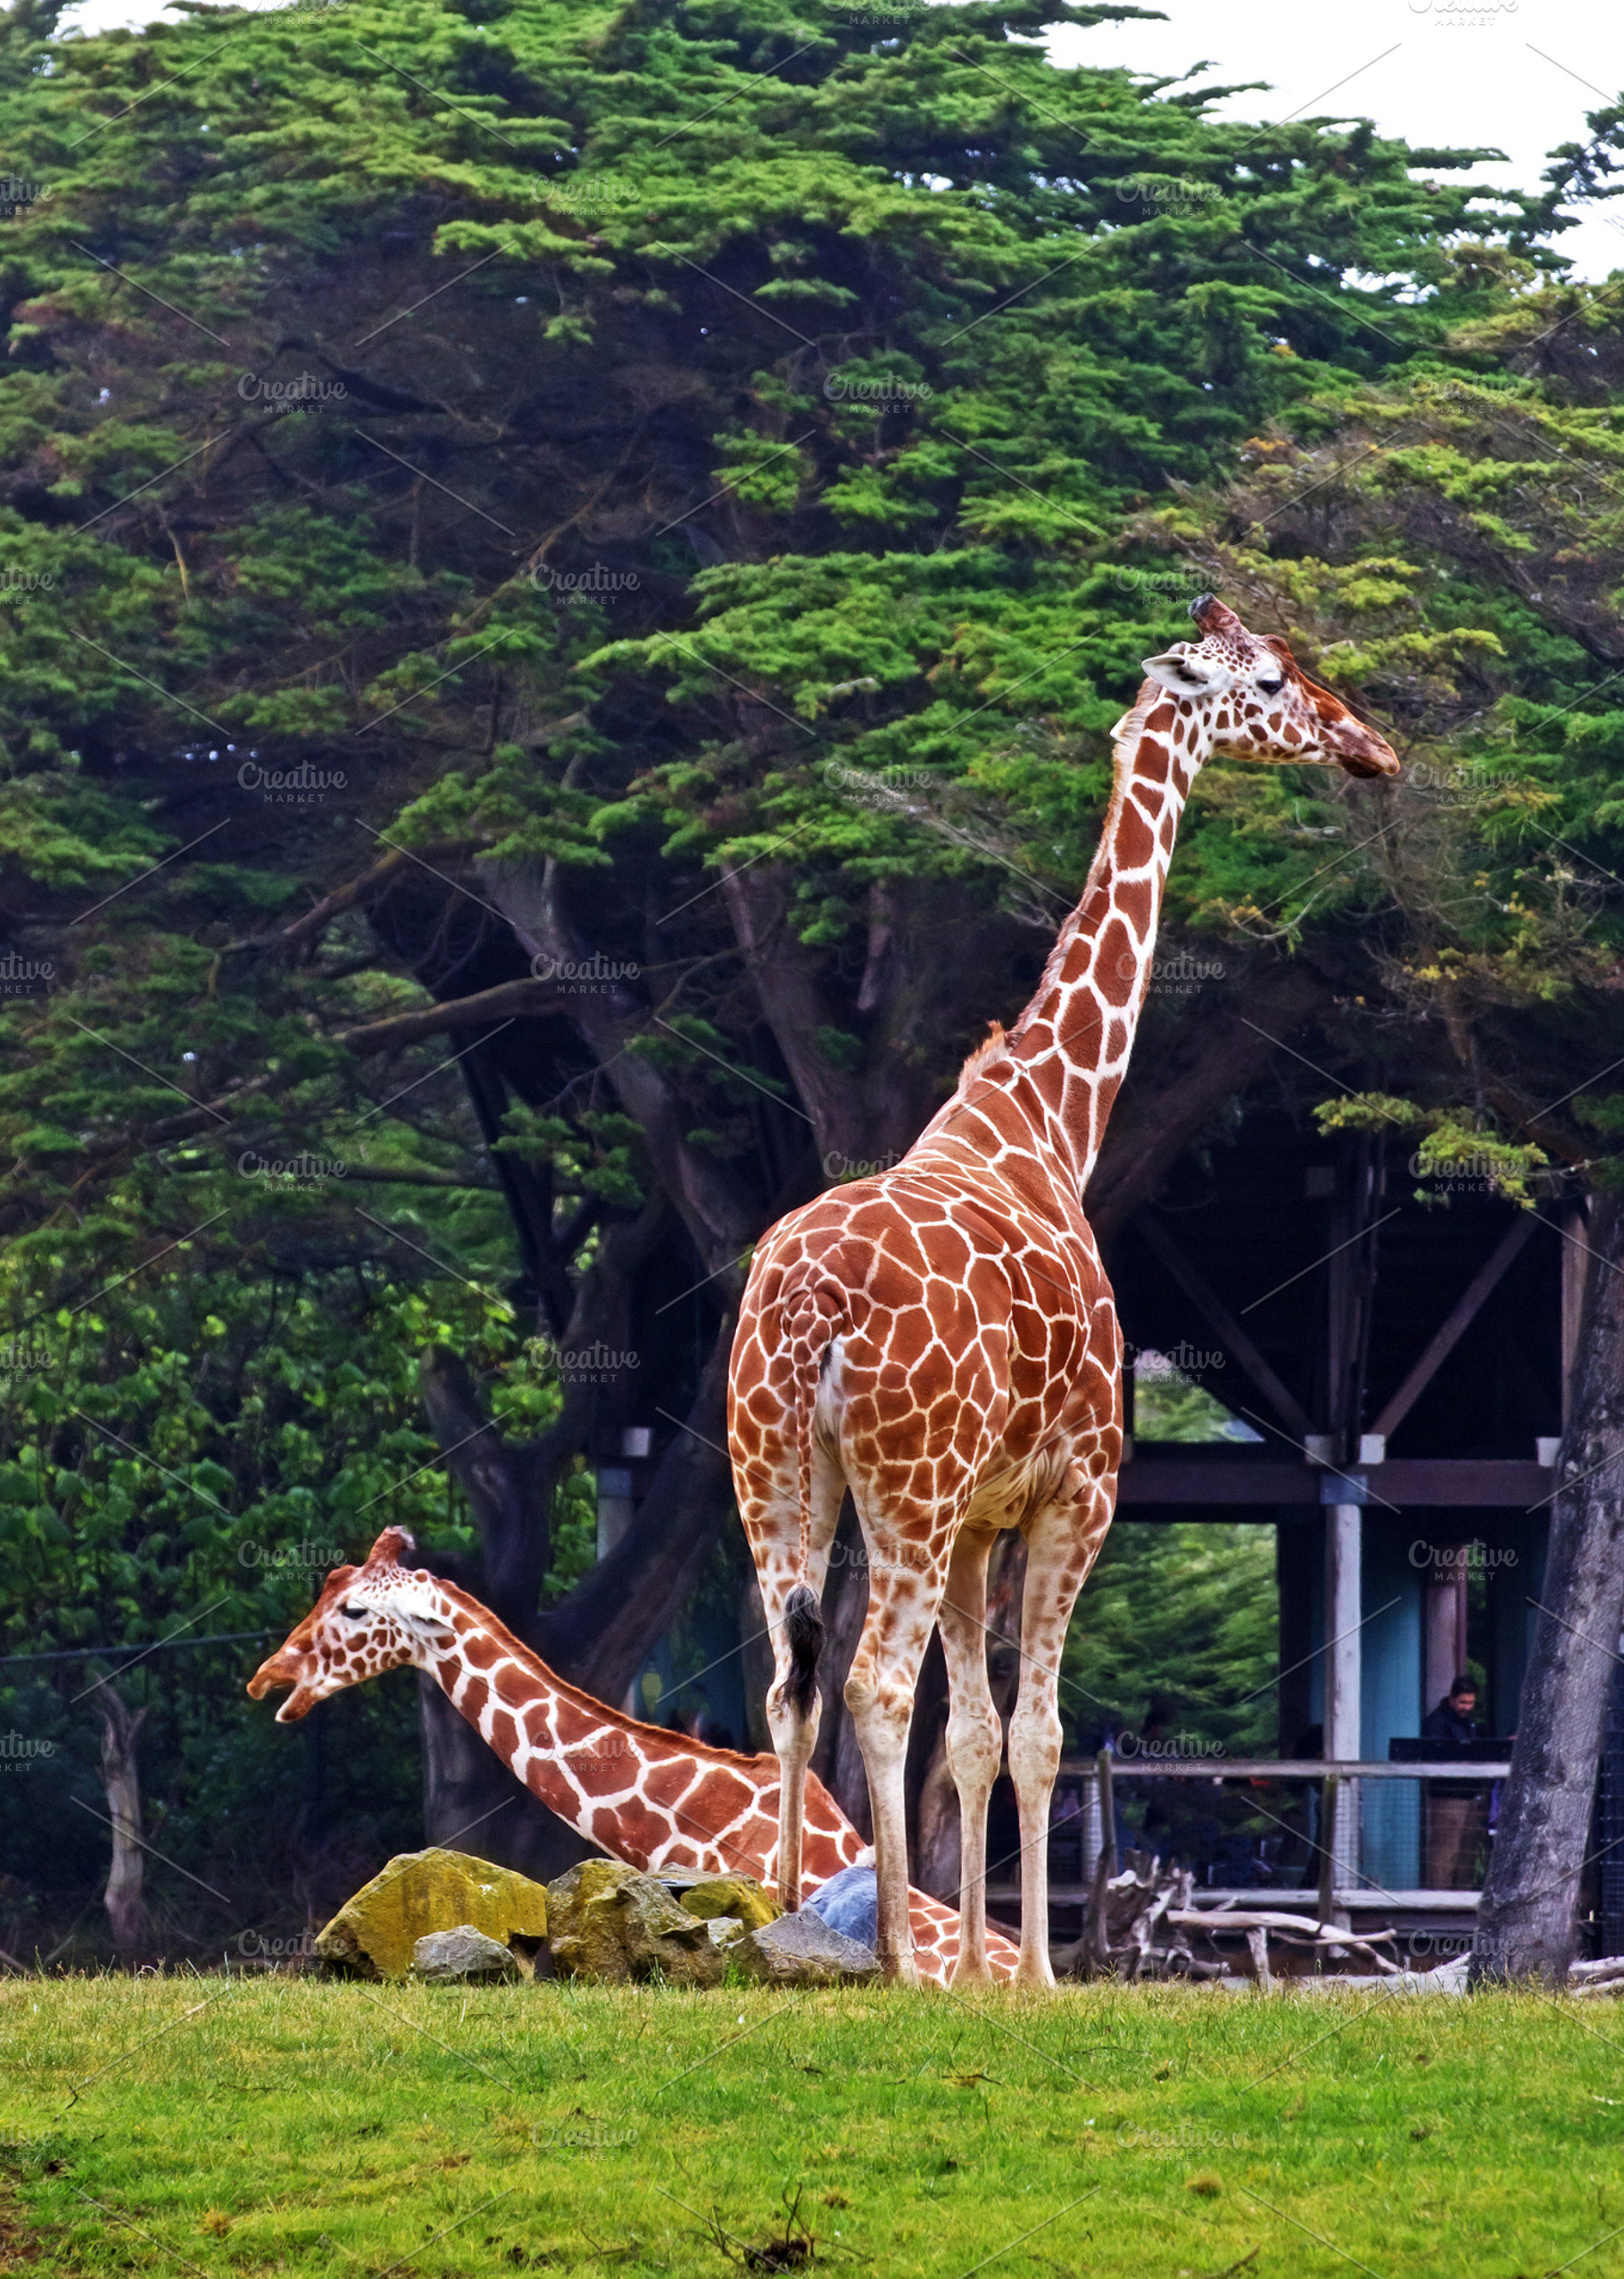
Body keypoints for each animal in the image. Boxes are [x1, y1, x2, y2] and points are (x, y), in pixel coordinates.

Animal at [729, 592, 1400, 1987]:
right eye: (1269, 680)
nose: (1368, 745)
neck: (1048, 1122)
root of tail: (810, 1310)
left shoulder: (986, 1513)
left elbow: (980, 1740)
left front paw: (990, 1968)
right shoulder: (1076, 1487)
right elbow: (1035, 1735)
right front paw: (1030, 1975)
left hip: (778, 1471)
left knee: (790, 1681)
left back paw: (776, 1924)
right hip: (907, 1485)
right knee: (872, 1684)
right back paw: (889, 1960)